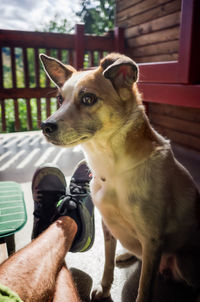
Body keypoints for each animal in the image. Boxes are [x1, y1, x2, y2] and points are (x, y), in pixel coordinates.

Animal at [39, 53, 200, 300]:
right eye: (59, 99)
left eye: (88, 98)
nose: (45, 126)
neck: (112, 167)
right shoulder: (108, 226)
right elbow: (107, 264)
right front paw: (105, 288)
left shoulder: (152, 240)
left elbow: (144, 286)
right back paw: (126, 253)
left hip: (184, 262)